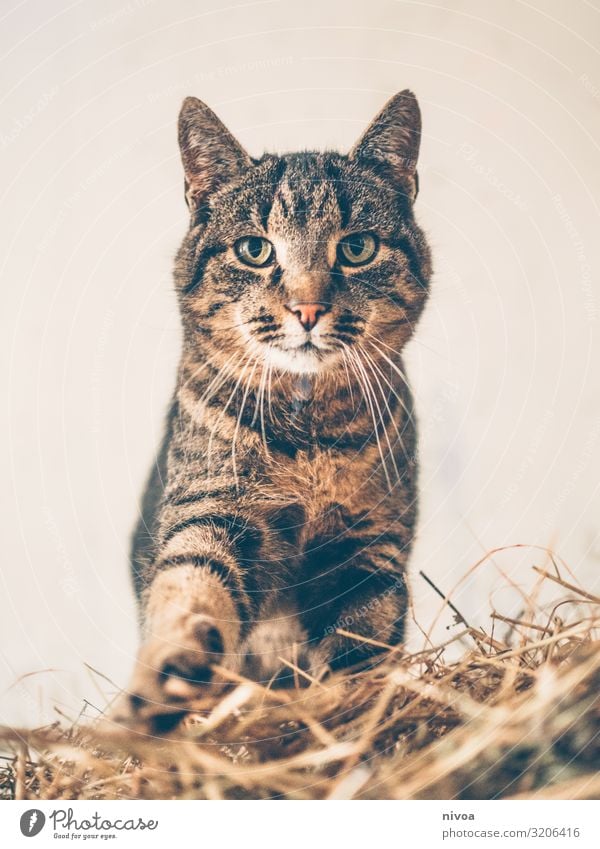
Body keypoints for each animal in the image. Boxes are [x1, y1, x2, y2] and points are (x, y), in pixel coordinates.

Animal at [125, 89, 432, 724]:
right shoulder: (213, 509)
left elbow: (360, 643)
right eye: (254, 249)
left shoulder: (369, 545)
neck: (309, 437)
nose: (307, 309)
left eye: (357, 247)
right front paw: (167, 676)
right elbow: (191, 588)